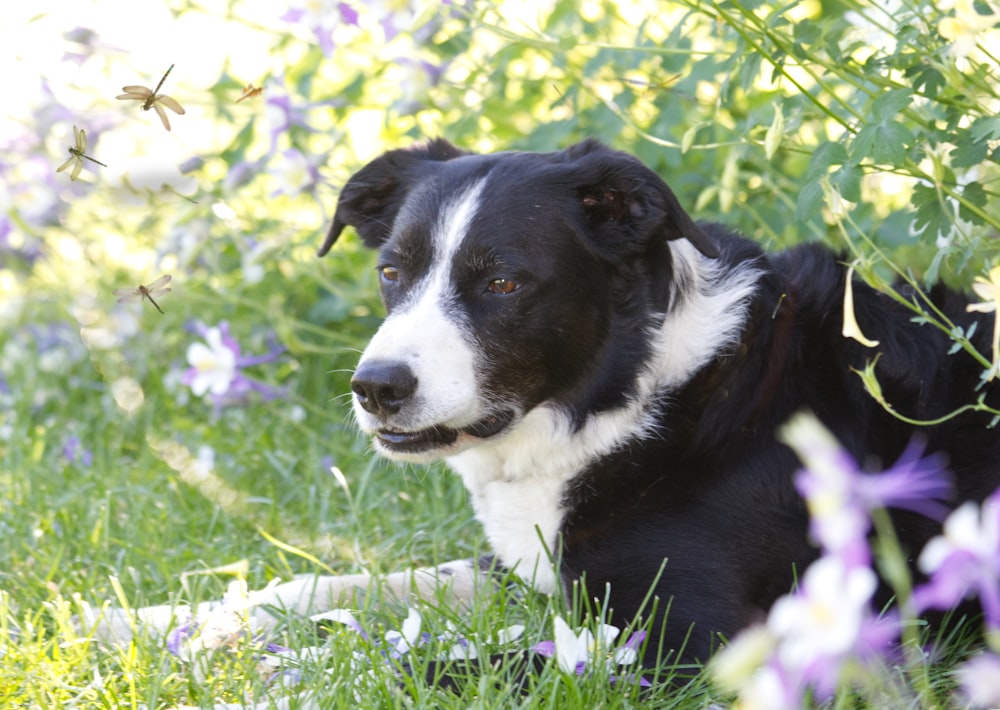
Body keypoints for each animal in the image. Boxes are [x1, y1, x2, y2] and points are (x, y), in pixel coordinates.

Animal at [90, 140, 1000, 684]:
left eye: (503, 282)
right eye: (391, 272)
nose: (376, 387)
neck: (636, 396)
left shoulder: (708, 643)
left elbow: (450, 666)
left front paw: (278, 676)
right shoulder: (529, 562)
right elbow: (335, 581)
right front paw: (145, 622)